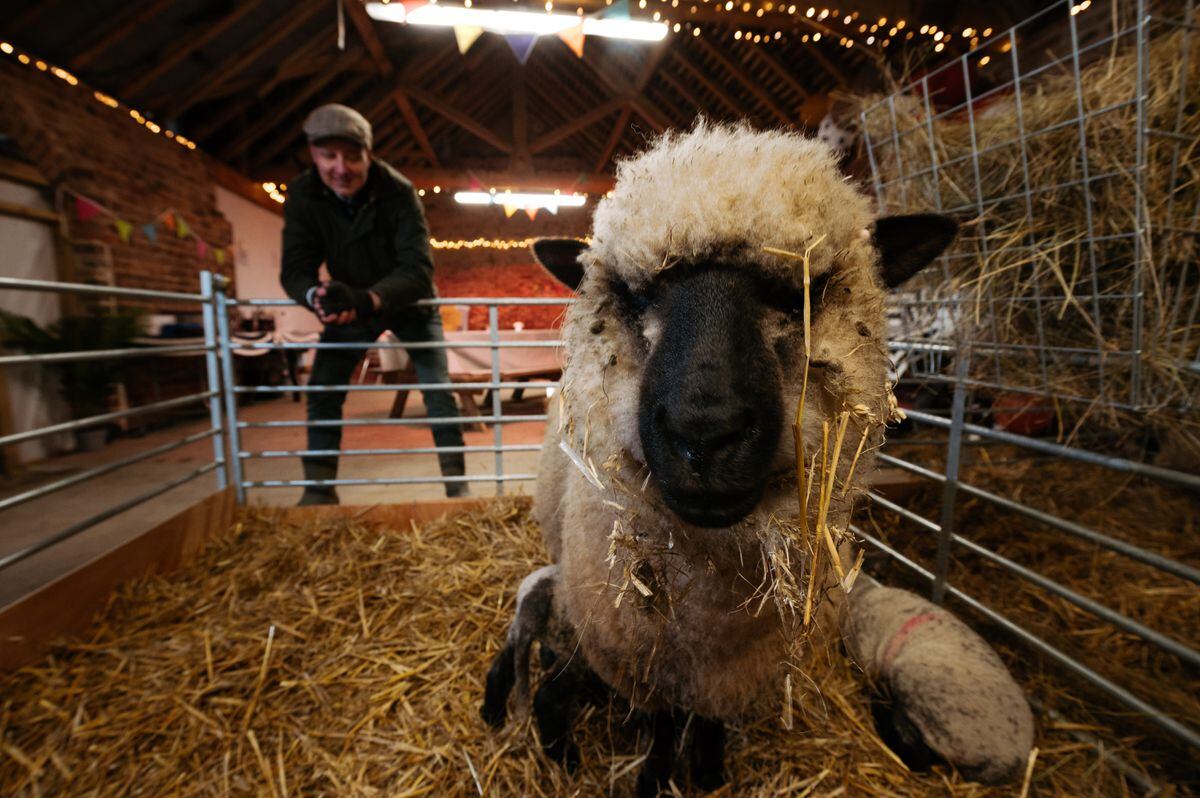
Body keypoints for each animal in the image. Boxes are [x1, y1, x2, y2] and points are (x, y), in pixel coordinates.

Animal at [477, 121, 1032, 792]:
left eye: (808, 290)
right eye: (633, 294)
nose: (704, 434)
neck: (708, 628)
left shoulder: (730, 676)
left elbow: (710, 723)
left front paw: (711, 772)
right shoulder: (647, 663)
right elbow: (664, 726)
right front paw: (657, 777)